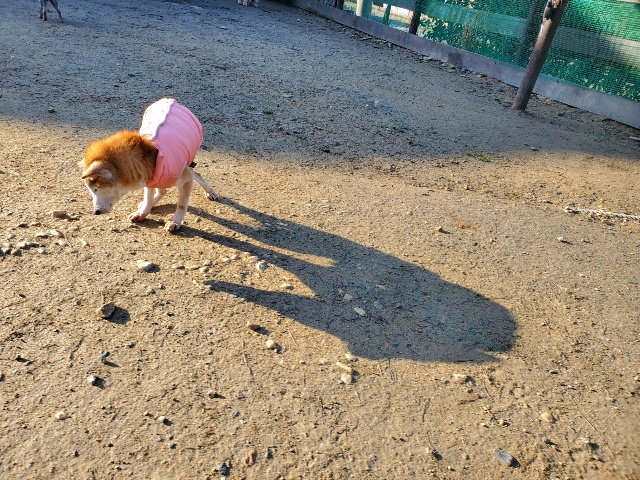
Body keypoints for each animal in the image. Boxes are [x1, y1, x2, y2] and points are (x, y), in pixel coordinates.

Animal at [81, 98, 219, 233]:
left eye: (96, 189)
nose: (96, 212)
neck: (148, 156)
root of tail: (171, 100)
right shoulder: (149, 177)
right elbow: (148, 197)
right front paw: (143, 212)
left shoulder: (185, 179)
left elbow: (181, 205)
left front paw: (175, 221)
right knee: (162, 190)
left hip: (188, 163)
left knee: (196, 174)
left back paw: (210, 192)